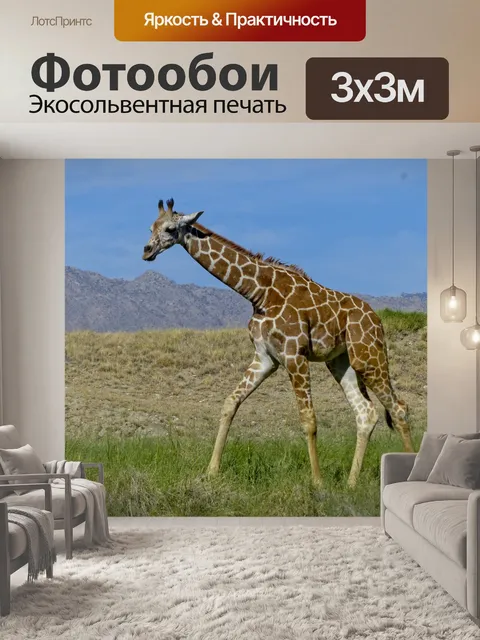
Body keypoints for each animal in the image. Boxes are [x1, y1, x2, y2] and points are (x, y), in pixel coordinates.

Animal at [142, 199, 414, 488]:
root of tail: (377, 319)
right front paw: (211, 470)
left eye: (170, 229)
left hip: (369, 356)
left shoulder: (295, 354)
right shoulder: (265, 357)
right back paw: (351, 483)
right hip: (341, 362)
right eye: (151, 227)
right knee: (366, 413)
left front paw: (317, 481)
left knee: (398, 407)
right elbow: (230, 403)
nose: (147, 251)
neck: (259, 293)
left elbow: (308, 419)